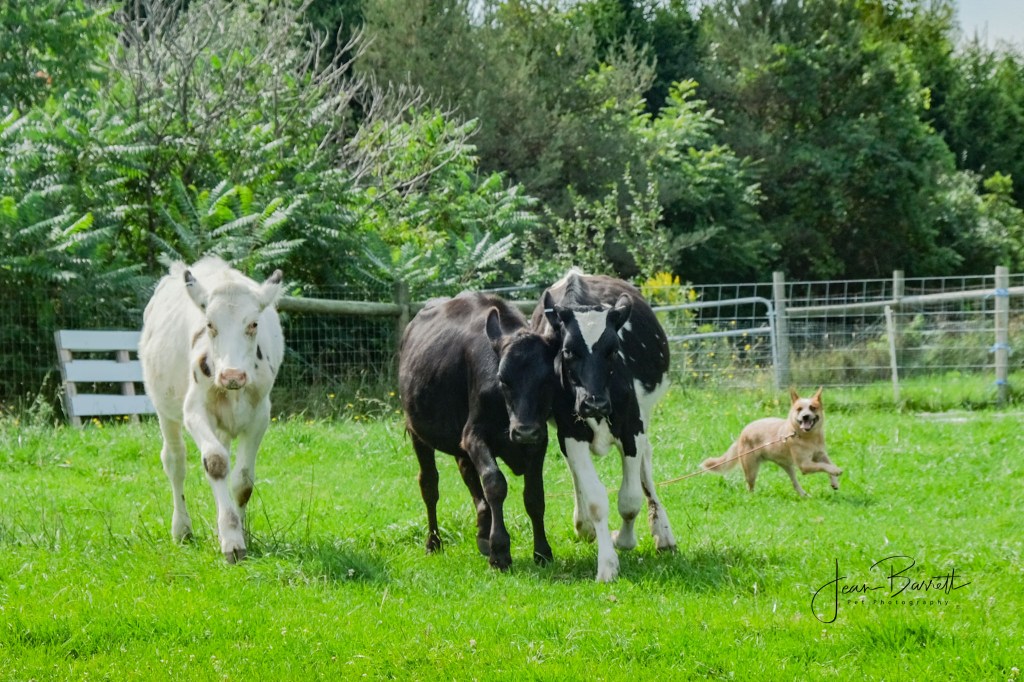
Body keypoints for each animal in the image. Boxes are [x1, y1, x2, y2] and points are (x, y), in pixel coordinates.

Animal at [139, 256, 284, 563]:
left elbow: (243, 480)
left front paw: (240, 531)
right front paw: (231, 540)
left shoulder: (260, 416)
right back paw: (182, 529)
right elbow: (216, 463)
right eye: (209, 324)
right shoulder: (194, 410)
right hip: (164, 408)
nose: (232, 375)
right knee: (175, 461)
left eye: (253, 324)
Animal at [398, 292, 558, 570]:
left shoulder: (539, 441)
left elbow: (534, 496)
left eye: (548, 379)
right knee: (429, 485)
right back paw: (433, 542)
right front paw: (500, 551)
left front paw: (542, 551)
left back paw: (483, 533)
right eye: (503, 379)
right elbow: (495, 483)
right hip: (418, 432)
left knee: (469, 477)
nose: (524, 431)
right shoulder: (474, 435)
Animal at [532, 269, 676, 582]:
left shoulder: (632, 429)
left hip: (645, 415)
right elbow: (597, 499)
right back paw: (583, 523)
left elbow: (630, 499)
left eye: (612, 350)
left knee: (646, 466)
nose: (594, 403)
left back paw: (663, 533)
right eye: (568, 351)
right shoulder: (570, 433)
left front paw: (624, 540)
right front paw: (607, 564)